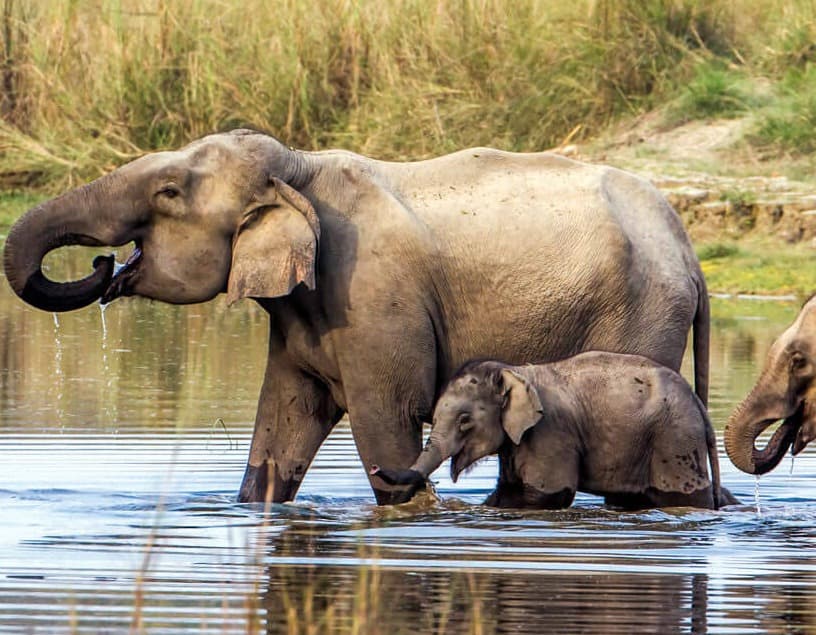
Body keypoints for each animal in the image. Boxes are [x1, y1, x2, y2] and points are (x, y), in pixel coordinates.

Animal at [3, 129, 710, 505]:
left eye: (168, 194)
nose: (103, 265)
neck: (300, 170)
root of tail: (690, 253)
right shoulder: (302, 312)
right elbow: (281, 426)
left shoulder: (372, 301)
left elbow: (386, 424)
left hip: (642, 315)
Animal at [372, 353, 737, 510]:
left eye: (464, 420)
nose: (374, 467)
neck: (514, 371)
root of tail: (698, 404)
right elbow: (507, 494)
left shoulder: (551, 434)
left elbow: (547, 496)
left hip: (675, 441)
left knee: (680, 496)